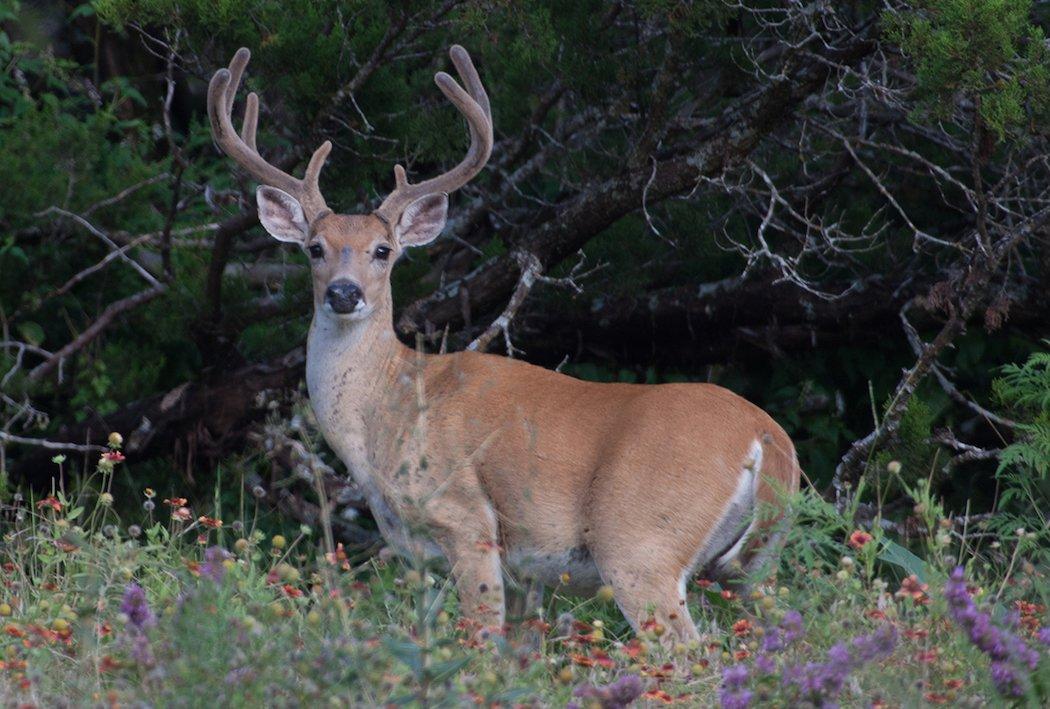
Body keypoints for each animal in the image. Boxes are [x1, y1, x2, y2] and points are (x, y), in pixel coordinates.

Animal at [204, 44, 797, 642]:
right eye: (315, 248)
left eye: (383, 250)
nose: (344, 293)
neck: (389, 410)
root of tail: (767, 438)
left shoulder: (466, 520)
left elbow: (481, 642)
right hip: (757, 565)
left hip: (640, 539)